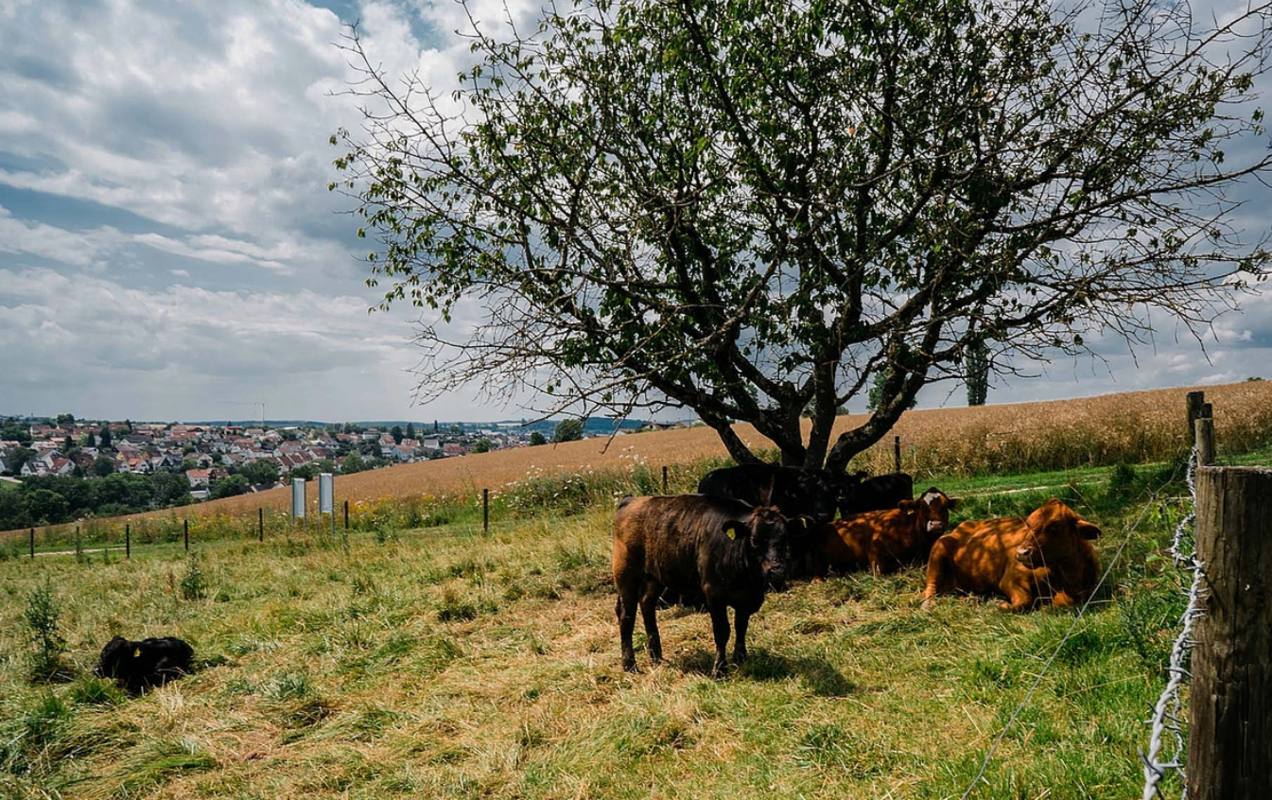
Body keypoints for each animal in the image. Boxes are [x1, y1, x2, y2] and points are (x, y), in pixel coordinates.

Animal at [610, 493, 788, 671]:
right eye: (754, 539)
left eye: (784, 539)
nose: (776, 569)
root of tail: (632, 500)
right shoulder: (714, 594)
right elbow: (722, 631)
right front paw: (719, 669)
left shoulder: (746, 598)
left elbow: (741, 627)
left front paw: (740, 659)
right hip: (626, 574)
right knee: (627, 615)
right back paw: (629, 665)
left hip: (653, 576)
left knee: (647, 604)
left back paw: (657, 657)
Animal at [920, 498, 1099, 610]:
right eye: (1028, 524)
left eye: (1054, 527)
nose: (1021, 553)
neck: (1069, 580)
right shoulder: (1011, 579)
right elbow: (1023, 602)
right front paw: (998, 604)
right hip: (939, 549)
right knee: (930, 587)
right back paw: (929, 604)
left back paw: (971, 599)